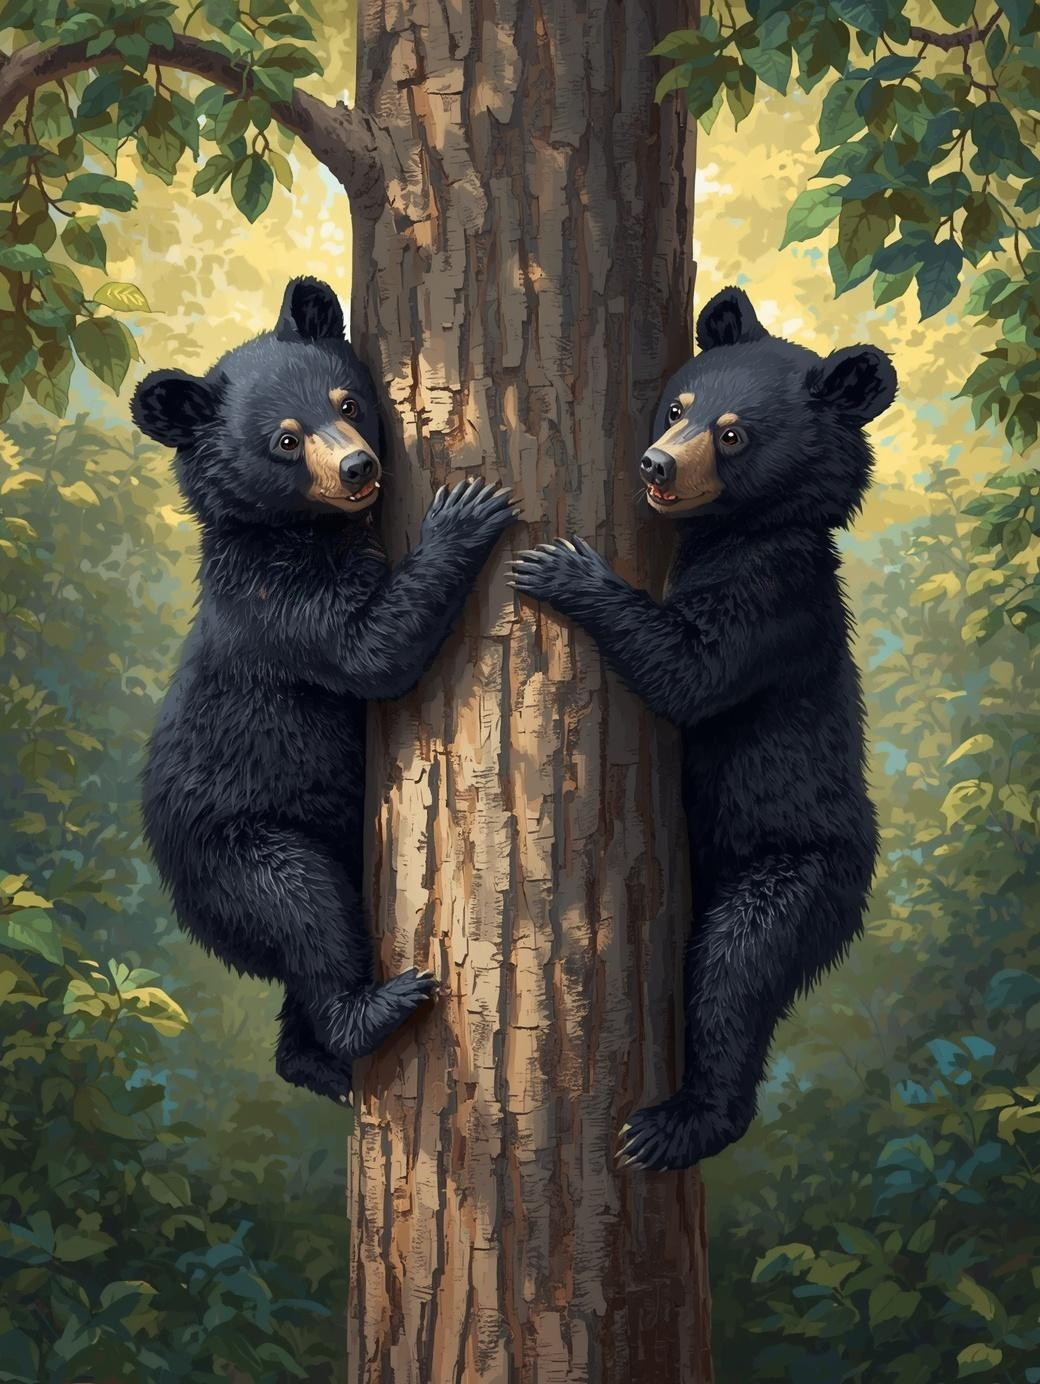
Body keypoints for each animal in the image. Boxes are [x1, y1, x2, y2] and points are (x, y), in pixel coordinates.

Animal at [130, 276, 518, 1103]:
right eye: (284, 439)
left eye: (346, 401)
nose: (359, 469)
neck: (300, 531)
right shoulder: (275, 605)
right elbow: (370, 649)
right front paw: (465, 515)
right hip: (242, 847)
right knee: (302, 910)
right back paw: (376, 1009)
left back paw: (316, 1061)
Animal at [510, 285, 895, 1170]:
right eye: (678, 405)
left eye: (733, 434)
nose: (656, 465)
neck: (738, 531)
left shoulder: (773, 597)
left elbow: (691, 670)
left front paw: (563, 569)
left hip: (797, 869)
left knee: (737, 971)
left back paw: (678, 1124)